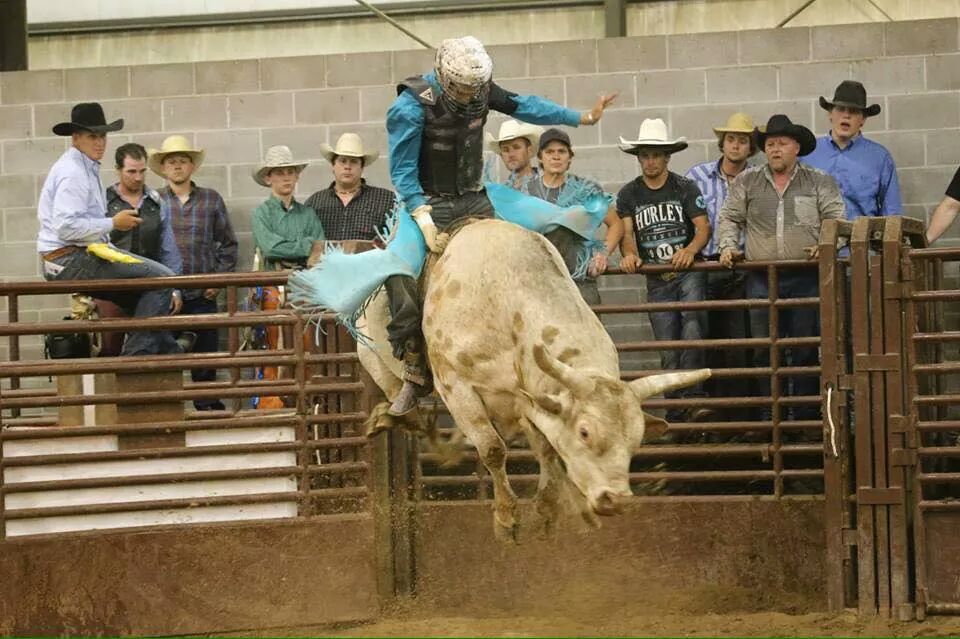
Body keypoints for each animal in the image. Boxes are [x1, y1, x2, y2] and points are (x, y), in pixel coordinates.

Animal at [360, 218, 709, 540]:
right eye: (585, 432)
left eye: (636, 440)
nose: (617, 499)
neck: (507, 305)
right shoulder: (456, 385)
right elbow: (493, 449)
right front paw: (506, 519)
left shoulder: (529, 395)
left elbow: (547, 449)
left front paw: (547, 512)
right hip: (370, 350)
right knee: (398, 390)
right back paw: (397, 411)